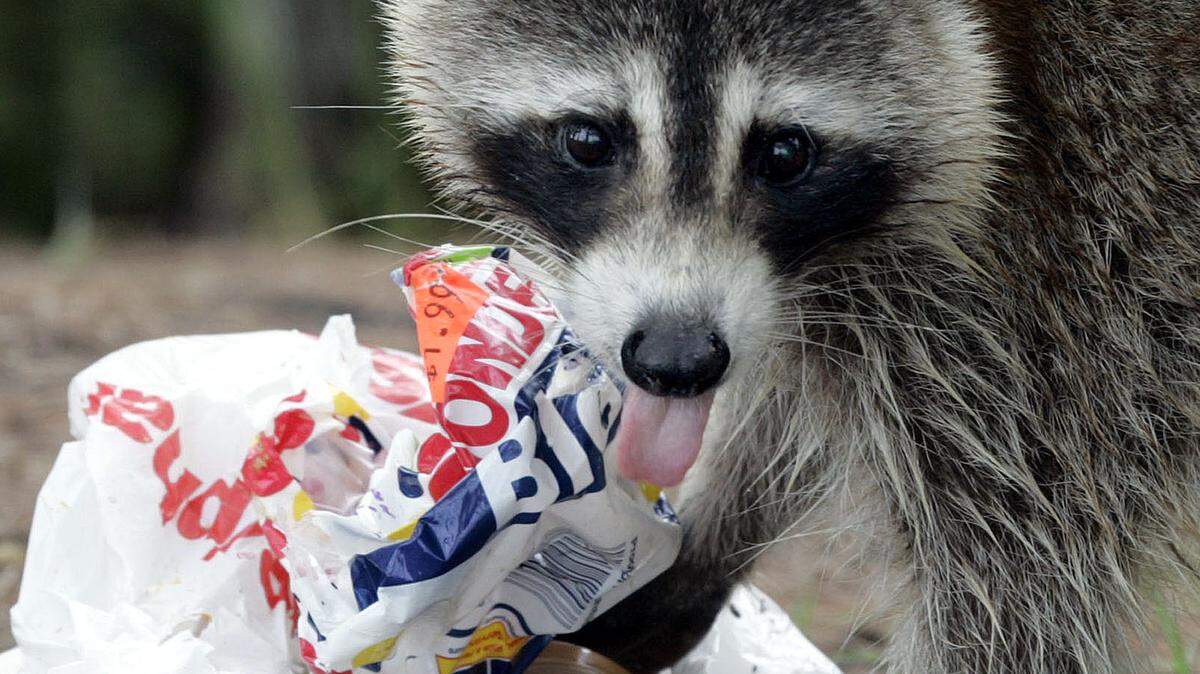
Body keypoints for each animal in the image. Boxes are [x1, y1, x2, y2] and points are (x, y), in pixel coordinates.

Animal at [380, 1, 1200, 672]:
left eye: (785, 152)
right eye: (587, 139)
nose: (678, 360)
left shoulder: (1068, 273)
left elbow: (1017, 583)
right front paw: (699, 550)